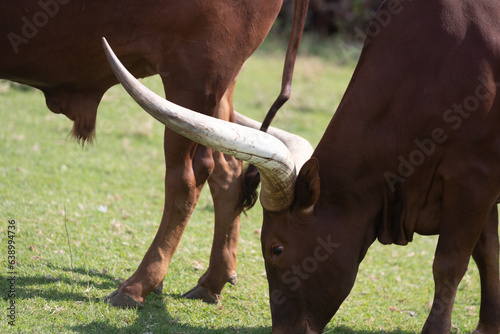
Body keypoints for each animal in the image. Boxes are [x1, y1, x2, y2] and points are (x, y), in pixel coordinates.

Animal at [0, 0, 312, 308]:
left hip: (197, 77)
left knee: (187, 179)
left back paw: (137, 286)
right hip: (221, 88)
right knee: (228, 170)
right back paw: (210, 283)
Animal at [103, 0, 500, 332]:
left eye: (276, 249)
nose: (284, 331)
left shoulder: (473, 180)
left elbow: (449, 264)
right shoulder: (482, 189)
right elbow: (488, 256)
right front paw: (488, 327)